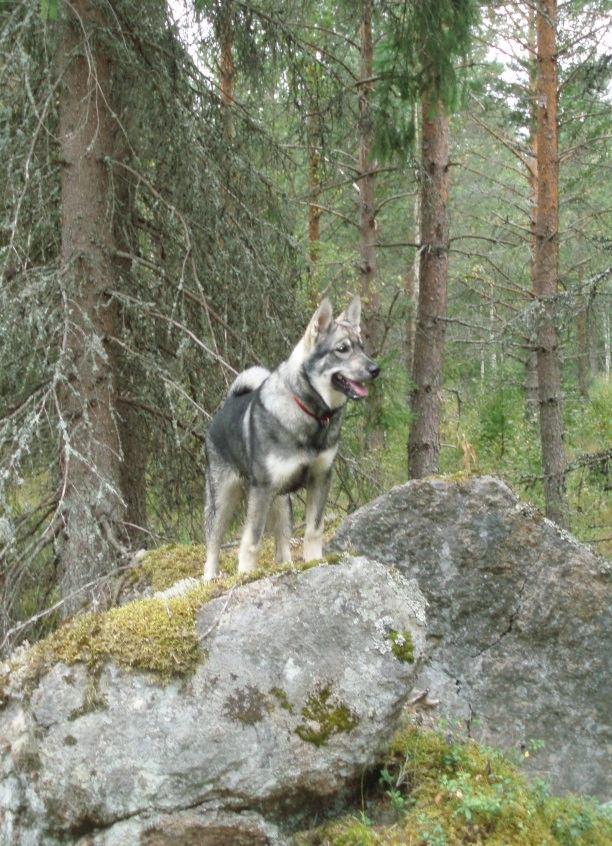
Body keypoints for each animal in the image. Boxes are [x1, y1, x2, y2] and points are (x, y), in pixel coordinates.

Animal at [203, 294, 380, 580]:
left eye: (362, 347)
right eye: (342, 349)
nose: (375, 369)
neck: (312, 414)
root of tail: (228, 404)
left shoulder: (320, 478)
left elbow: (314, 529)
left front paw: (314, 561)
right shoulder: (261, 490)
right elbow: (251, 540)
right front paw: (246, 574)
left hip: (281, 501)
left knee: (282, 540)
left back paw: (286, 565)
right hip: (223, 498)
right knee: (213, 540)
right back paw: (209, 577)